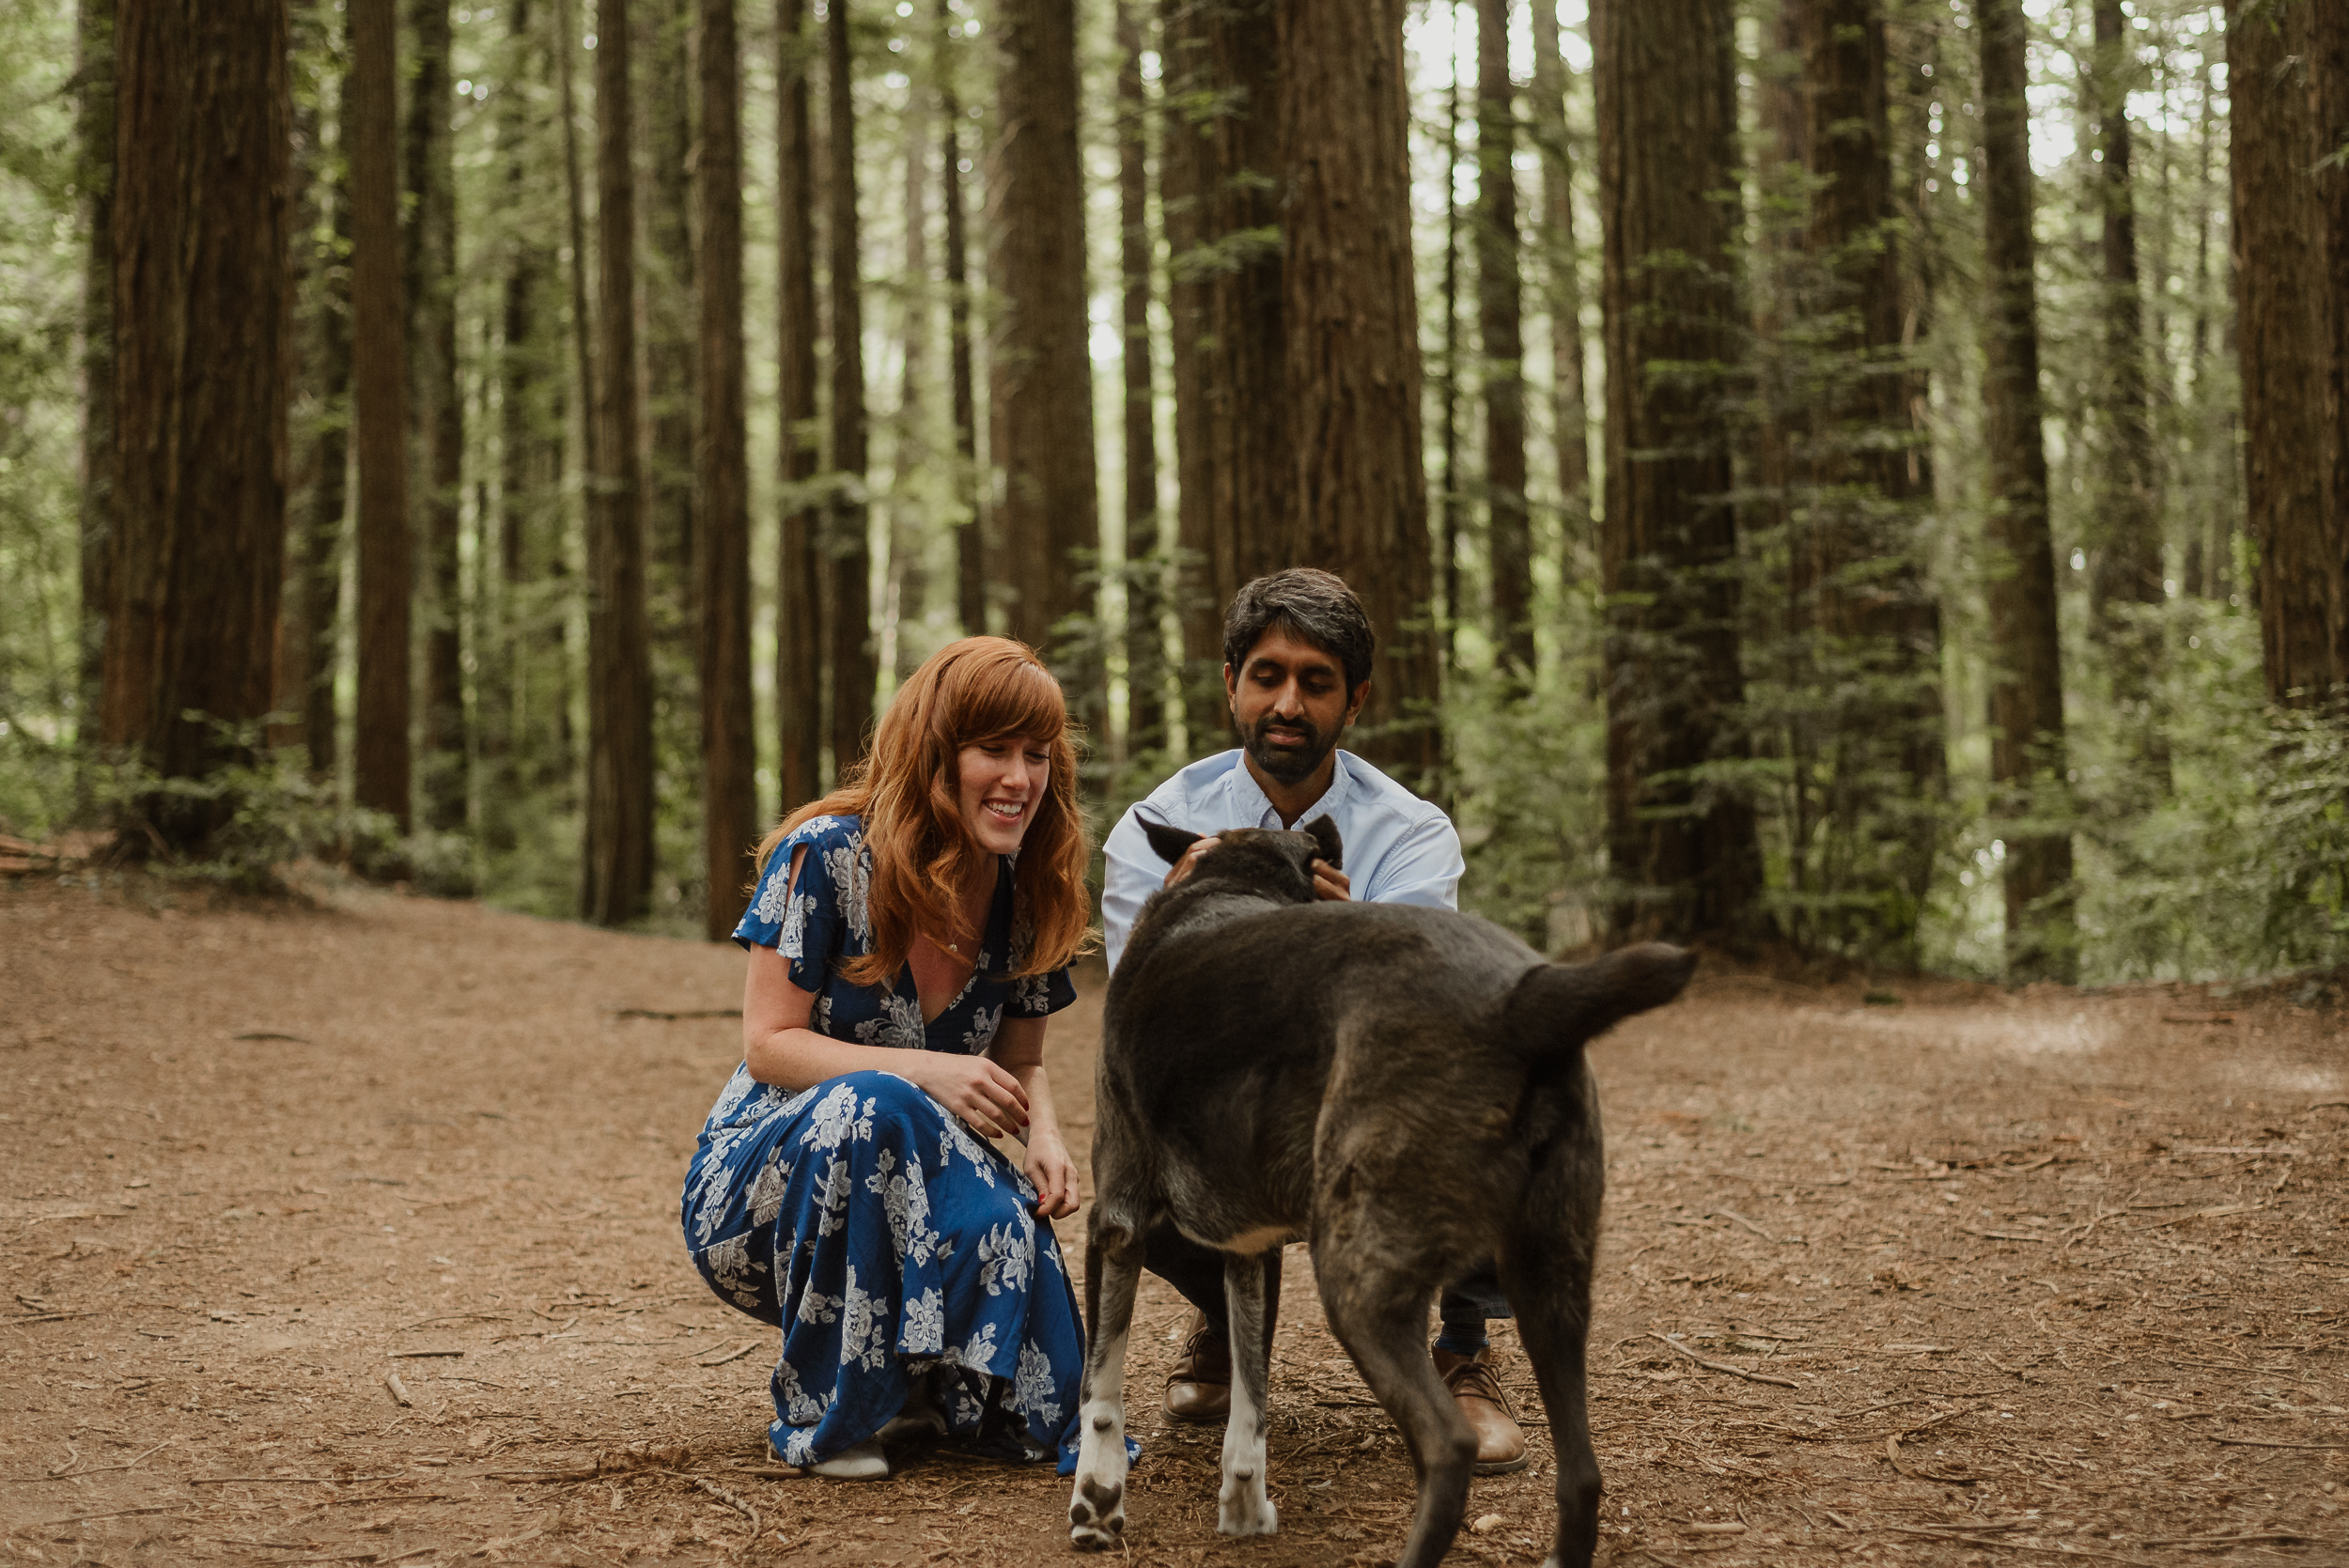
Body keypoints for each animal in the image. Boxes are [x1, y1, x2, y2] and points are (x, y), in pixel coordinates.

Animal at [1062, 816, 1691, 1568]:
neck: (1232, 881)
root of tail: (1525, 997)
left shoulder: (1116, 1221)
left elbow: (1100, 1387)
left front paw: (1096, 1502)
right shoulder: (1249, 1251)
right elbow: (1250, 1394)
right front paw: (1245, 1504)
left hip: (1360, 1280)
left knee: (1450, 1447)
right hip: (1552, 1280)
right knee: (1583, 1475)